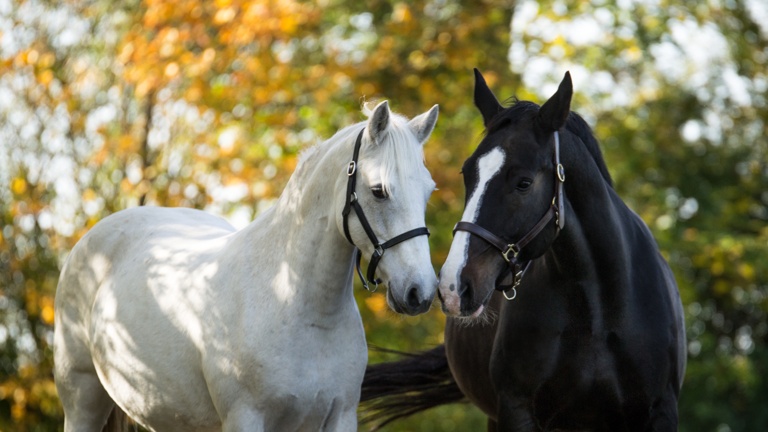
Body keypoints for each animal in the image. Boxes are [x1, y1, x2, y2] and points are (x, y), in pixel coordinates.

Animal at [52, 101, 438, 432]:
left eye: (428, 191)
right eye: (378, 191)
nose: (419, 292)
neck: (295, 302)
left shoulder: (340, 417)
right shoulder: (246, 417)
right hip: (82, 403)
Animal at [364, 69, 688, 430]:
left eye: (524, 183)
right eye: (467, 173)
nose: (453, 287)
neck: (597, 314)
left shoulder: (660, 411)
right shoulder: (515, 410)